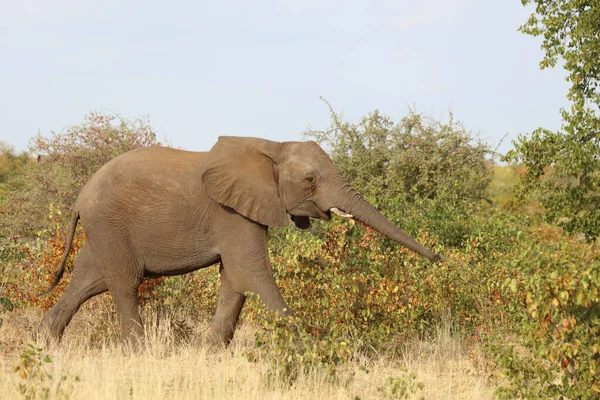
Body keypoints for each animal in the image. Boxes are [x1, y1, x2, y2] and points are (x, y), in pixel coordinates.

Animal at [38, 136, 440, 346]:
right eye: (310, 180)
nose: (439, 259)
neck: (272, 147)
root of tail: (79, 198)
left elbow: (235, 281)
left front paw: (209, 352)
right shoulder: (232, 214)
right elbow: (251, 275)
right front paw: (311, 351)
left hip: (103, 231)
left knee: (90, 280)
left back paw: (47, 344)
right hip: (110, 223)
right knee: (123, 284)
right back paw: (138, 351)